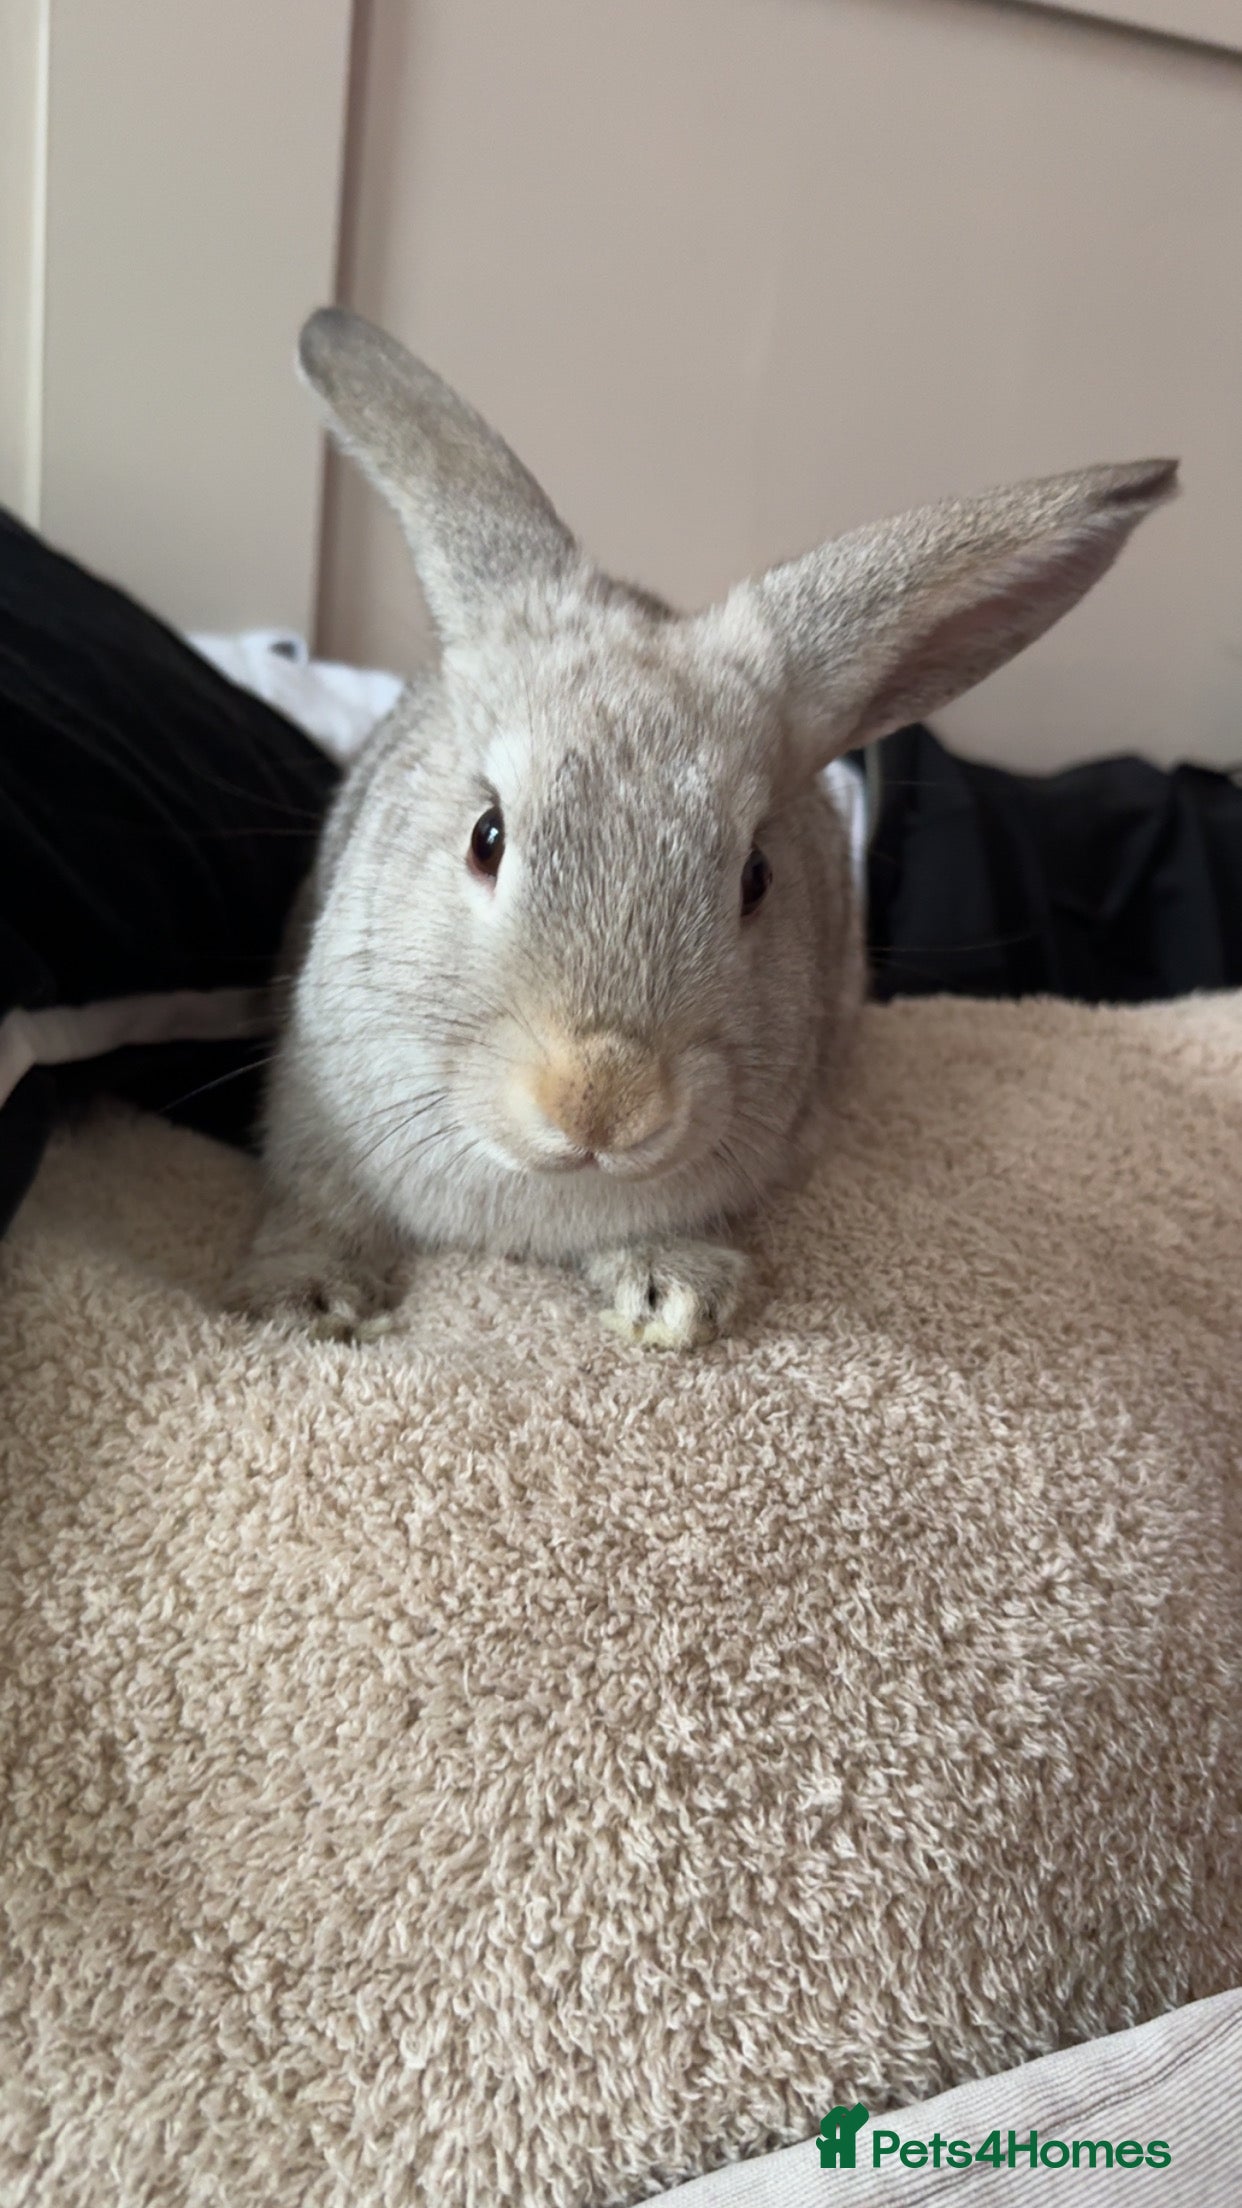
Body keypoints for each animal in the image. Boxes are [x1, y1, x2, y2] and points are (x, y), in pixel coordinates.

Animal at [228, 306, 1176, 1349]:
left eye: (755, 876)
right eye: (487, 836)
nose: (601, 1104)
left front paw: (676, 1292)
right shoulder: (312, 1115)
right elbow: (318, 1209)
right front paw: (306, 1301)